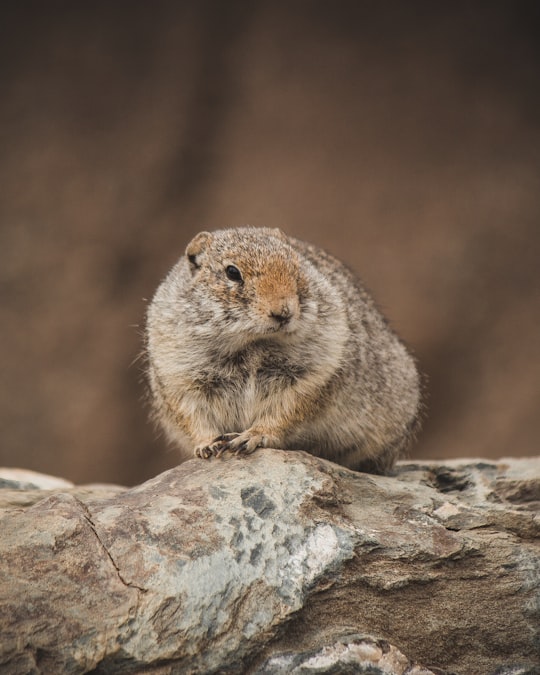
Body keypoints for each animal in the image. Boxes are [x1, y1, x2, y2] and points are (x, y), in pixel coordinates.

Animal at [144, 226, 422, 470]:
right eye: (232, 272)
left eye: (297, 268)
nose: (283, 312)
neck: (252, 344)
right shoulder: (179, 377)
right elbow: (194, 418)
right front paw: (208, 445)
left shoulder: (313, 375)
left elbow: (284, 413)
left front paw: (250, 437)